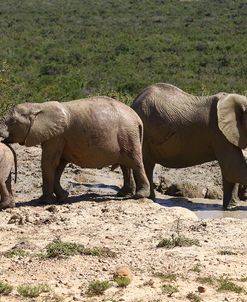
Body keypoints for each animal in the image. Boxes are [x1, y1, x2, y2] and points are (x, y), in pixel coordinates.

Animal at [0, 95, 149, 203]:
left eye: (12, 122)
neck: (38, 106)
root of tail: (138, 119)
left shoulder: (56, 136)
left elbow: (49, 163)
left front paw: (43, 201)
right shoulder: (59, 138)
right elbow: (59, 164)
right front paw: (63, 196)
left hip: (128, 133)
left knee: (135, 162)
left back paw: (139, 196)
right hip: (127, 135)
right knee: (126, 165)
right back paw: (123, 194)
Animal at [130, 82, 247, 210]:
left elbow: (230, 170)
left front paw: (231, 208)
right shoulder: (218, 132)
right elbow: (233, 167)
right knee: (146, 164)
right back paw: (147, 199)